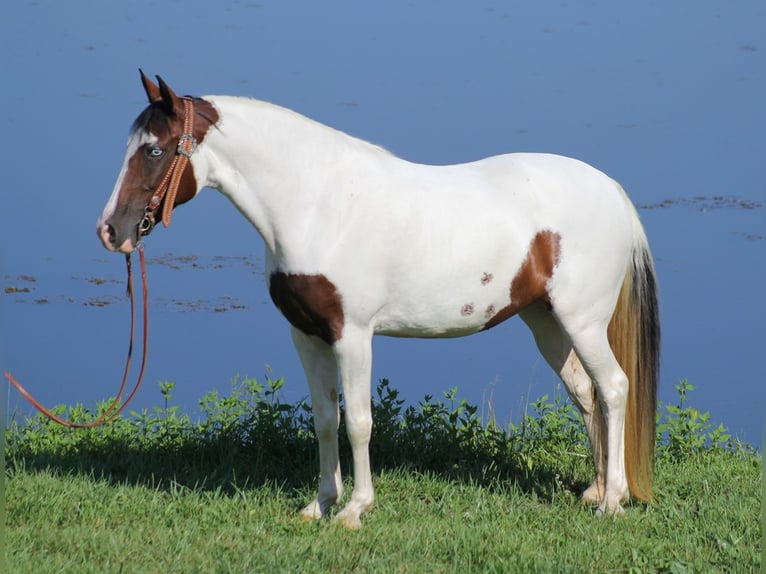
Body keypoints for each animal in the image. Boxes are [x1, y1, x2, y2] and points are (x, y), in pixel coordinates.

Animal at [97, 73, 660, 532]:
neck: (317, 206)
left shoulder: (353, 335)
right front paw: (319, 505)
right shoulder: (307, 336)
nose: (111, 231)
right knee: (585, 393)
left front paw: (354, 509)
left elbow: (359, 422)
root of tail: (611, 190)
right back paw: (594, 489)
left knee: (613, 389)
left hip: (582, 322)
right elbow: (325, 420)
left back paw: (612, 501)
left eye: (153, 151)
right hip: (546, 322)